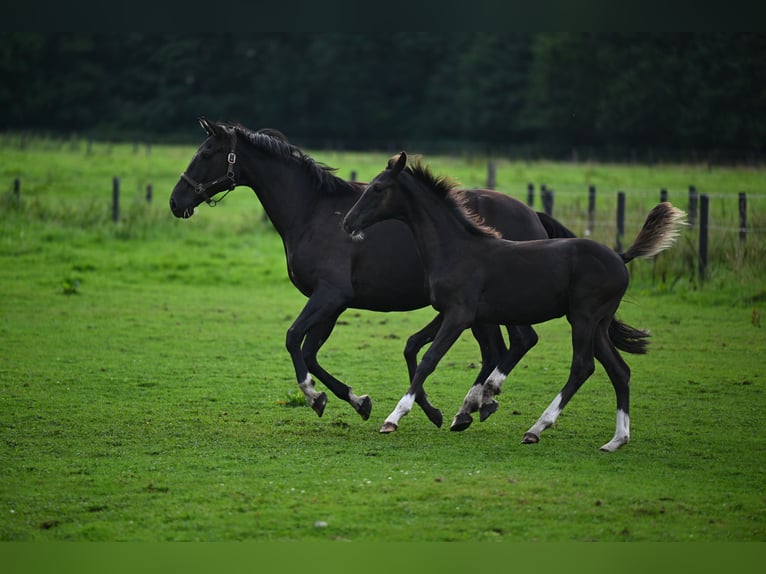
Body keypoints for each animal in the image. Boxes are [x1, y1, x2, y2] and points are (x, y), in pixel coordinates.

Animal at [170, 118, 576, 428]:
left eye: (205, 154)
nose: (176, 202)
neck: (313, 212)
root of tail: (532, 213)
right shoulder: (333, 304)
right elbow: (311, 351)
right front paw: (358, 401)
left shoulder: (330, 295)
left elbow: (293, 339)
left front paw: (315, 397)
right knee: (499, 349)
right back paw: (469, 408)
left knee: (517, 343)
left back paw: (476, 402)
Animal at [344, 154, 688, 454]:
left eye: (378, 187)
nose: (348, 222)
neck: (456, 248)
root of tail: (619, 256)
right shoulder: (451, 312)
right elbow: (416, 346)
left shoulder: (459, 315)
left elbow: (429, 359)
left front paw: (393, 418)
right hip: (599, 324)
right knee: (619, 371)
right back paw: (616, 440)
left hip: (583, 318)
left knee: (582, 366)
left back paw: (535, 427)